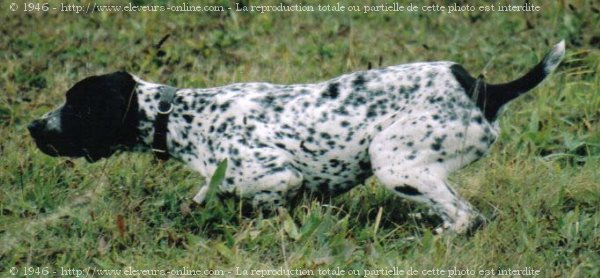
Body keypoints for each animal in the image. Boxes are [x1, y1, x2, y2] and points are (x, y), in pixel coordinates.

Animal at [27, 40, 564, 232]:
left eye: (76, 106)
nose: (33, 127)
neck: (182, 117)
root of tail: (480, 89)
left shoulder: (279, 179)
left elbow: (266, 206)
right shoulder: (217, 183)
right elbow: (199, 199)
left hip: (393, 162)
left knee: (466, 216)